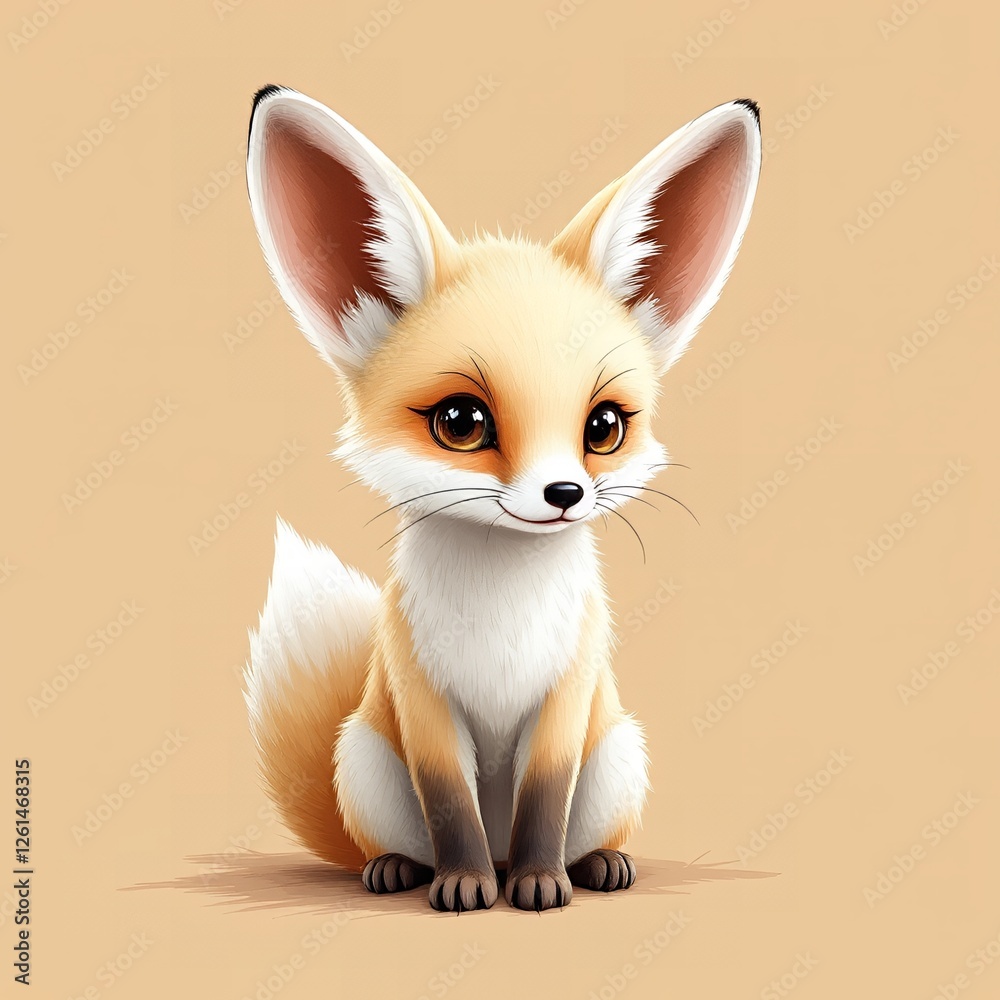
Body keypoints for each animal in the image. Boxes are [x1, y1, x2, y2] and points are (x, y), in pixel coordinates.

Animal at [243, 85, 761, 912]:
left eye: (604, 426)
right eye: (462, 421)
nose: (564, 492)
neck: (502, 614)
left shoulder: (566, 689)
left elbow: (545, 798)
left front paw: (541, 882)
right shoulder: (422, 696)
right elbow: (451, 802)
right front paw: (464, 884)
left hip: (618, 753)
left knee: (569, 831)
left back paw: (589, 864)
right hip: (366, 758)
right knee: (408, 840)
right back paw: (403, 868)